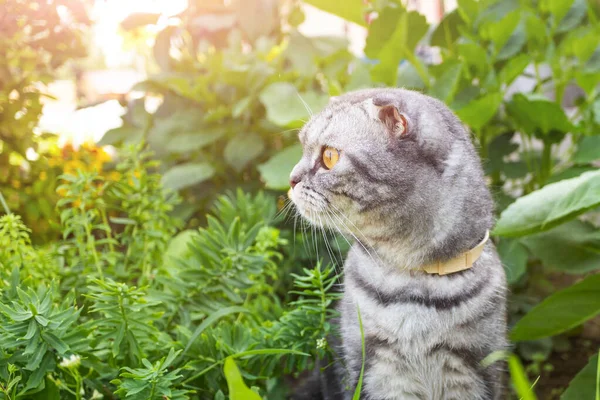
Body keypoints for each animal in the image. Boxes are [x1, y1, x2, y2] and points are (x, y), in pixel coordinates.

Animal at [286, 88, 506, 400]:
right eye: (302, 145)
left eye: (329, 156)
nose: (290, 180)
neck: (414, 281)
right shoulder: (378, 370)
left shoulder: (476, 368)